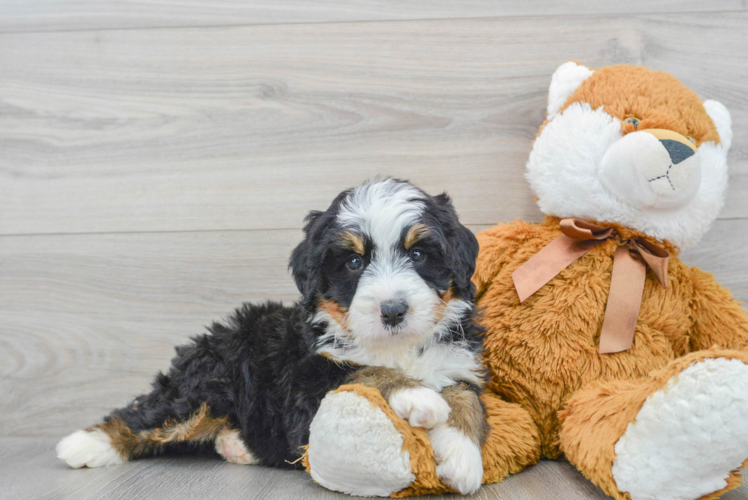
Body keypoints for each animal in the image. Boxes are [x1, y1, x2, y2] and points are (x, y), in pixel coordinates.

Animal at [60, 178, 490, 494]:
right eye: (354, 262)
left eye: (418, 255)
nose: (393, 310)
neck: (396, 346)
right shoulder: (307, 381)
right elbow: (364, 372)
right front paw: (417, 395)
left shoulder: (459, 361)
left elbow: (466, 398)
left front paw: (462, 457)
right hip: (207, 382)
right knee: (148, 414)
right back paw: (87, 444)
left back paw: (238, 445)